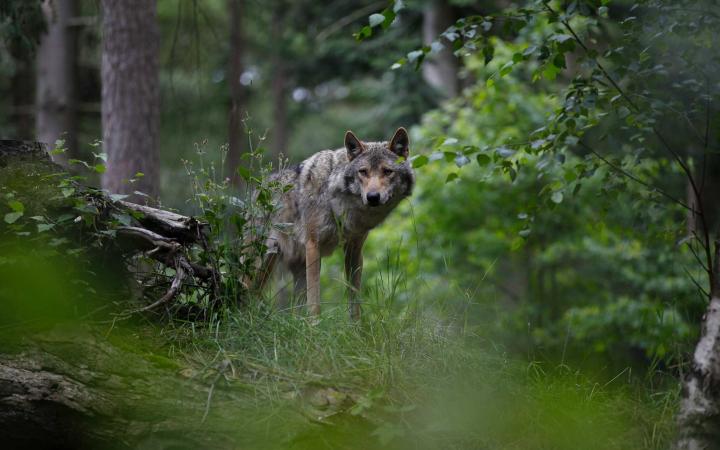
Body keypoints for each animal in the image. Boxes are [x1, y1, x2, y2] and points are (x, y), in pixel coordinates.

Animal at [255, 125, 414, 320]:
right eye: (363, 172)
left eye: (387, 171)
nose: (372, 197)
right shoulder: (313, 246)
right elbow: (315, 302)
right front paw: (314, 326)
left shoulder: (354, 250)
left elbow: (354, 300)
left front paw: (356, 327)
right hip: (262, 264)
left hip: (294, 270)